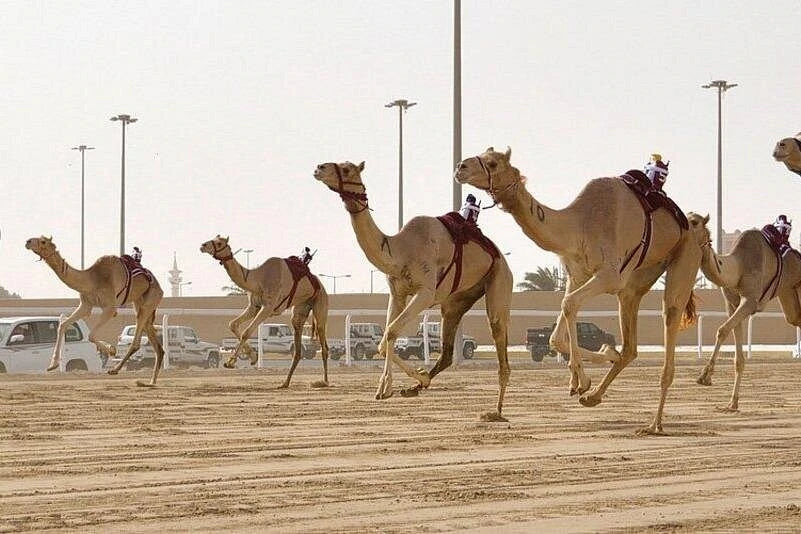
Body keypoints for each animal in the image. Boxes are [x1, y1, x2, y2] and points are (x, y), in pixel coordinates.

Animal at [24, 236, 165, 387]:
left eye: (43, 241)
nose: (28, 241)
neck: (92, 279)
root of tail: (159, 286)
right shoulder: (86, 305)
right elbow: (63, 325)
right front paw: (52, 365)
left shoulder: (110, 308)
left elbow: (91, 335)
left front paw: (111, 350)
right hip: (139, 301)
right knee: (155, 342)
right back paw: (151, 382)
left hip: (151, 297)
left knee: (138, 335)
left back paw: (115, 370)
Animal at [200, 236, 330, 388]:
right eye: (214, 238)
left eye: (219, 243)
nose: (203, 245)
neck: (258, 279)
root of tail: (320, 284)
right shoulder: (253, 306)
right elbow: (233, 324)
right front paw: (253, 357)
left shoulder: (268, 307)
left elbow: (247, 332)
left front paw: (230, 362)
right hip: (301, 307)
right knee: (297, 348)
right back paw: (285, 383)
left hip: (320, 303)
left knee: (323, 343)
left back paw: (325, 381)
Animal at [313, 160, 514, 421]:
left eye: (347, 169)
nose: (319, 168)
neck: (399, 250)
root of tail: (498, 254)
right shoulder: (397, 293)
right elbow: (386, 337)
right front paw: (387, 388)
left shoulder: (425, 293)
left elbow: (389, 332)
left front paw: (399, 383)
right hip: (456, 300)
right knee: (447, 351)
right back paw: (415, 387)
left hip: (499, 281)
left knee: (500, 340)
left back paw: (496, 411)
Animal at [454, 147, 707, 434]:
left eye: (493, 162)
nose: (461, 167)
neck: (579, 225)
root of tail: (689, 225)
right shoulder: (576, 275)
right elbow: (557, 330)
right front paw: (598, 363)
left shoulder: (609, 275)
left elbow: (570, 305)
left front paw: (581, 381)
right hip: (637, 280)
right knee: (630, 346)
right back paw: (595, 396)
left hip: (685, 257)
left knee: (670, 313)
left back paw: (654, 424)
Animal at [692, 215, 801, 411]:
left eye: (694, 221)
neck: (738, 266)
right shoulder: (732, 304)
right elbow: (735, 352)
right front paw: (732, 403)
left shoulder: (750, 301)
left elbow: (722, 329)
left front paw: (704, 376)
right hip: (789, 295)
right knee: (796, 318)